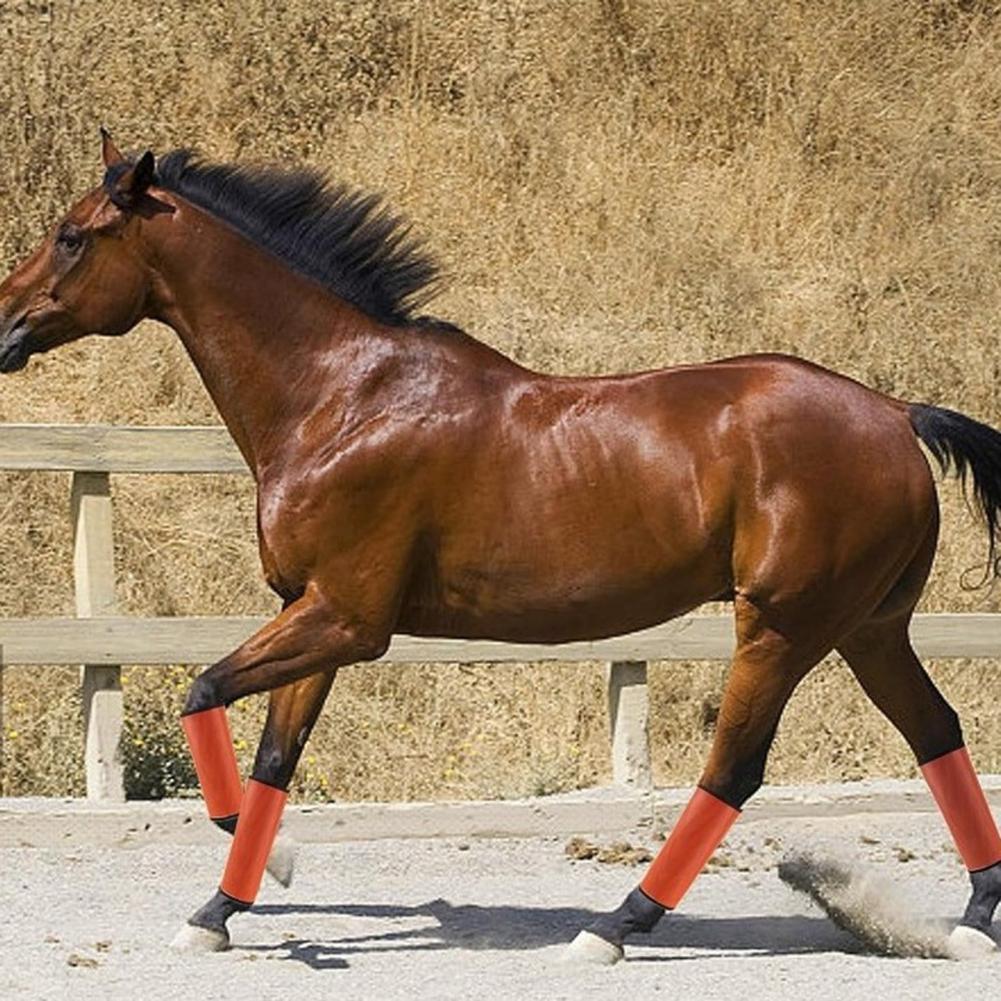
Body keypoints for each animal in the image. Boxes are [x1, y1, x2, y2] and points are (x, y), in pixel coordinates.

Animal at [1, 131, 1000, 962]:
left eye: (72, 237)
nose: (3, 324)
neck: (341, 396)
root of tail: (894, 414)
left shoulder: (346, 618)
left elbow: (202, 691)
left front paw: (263, 867)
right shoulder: (311, 612)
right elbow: (274, 758)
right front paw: (219, 906)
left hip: (783, 628)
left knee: (733, 769)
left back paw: (615, 925)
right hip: (867, 629)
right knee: (935, 731)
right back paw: (970, 917)